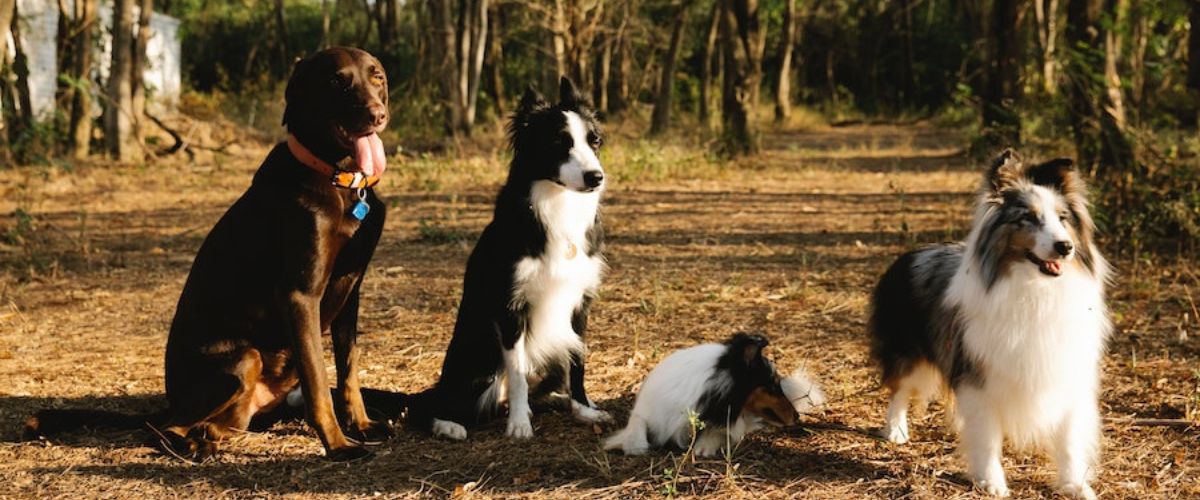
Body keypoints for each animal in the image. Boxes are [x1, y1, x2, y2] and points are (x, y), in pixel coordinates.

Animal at [23, 46, 391, 460]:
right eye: (335, 81)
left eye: (376, 76)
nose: (377, 115)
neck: (341, 181)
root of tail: (172, 402)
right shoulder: (300, 295)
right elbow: (317, 381)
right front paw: (338, 444)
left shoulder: (350, 290)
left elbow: (348, 370)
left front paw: (361, 425)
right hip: (243, 360)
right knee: (162, 428)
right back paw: (193, 446)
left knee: (209, 424)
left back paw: (208, 437)